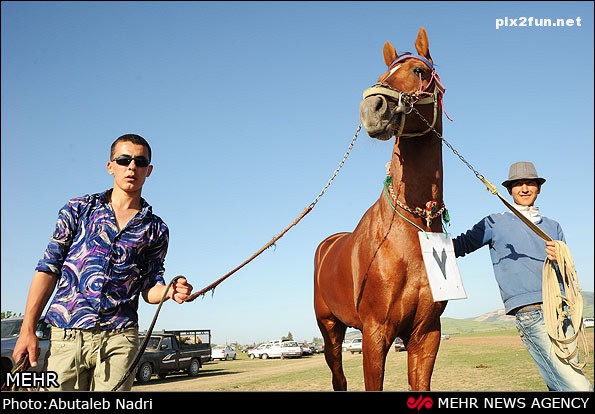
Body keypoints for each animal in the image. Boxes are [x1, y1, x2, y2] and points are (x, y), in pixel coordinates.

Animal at [313, 27, 448, 391]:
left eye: (419, 71)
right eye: (382, 74)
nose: (372, 109)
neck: (413, 228)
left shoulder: (426, 334)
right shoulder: (375, 334)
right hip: (330, 330)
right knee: (338, 378)